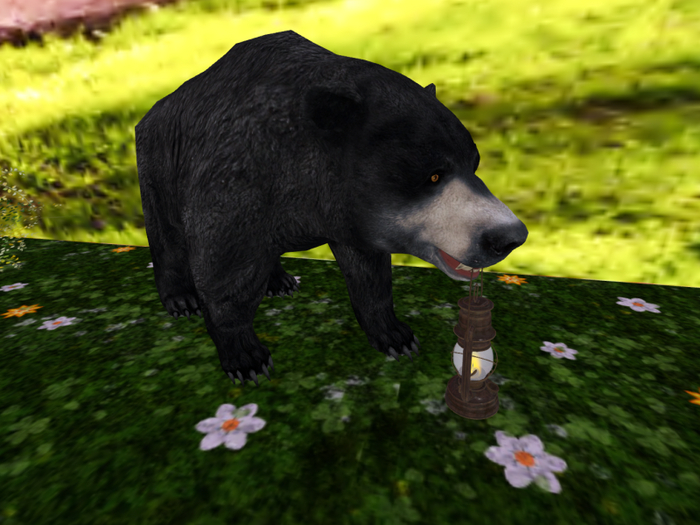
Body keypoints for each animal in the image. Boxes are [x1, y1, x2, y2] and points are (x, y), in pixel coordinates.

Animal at [135, 30, 528, 387]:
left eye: (473, 164)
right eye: (433, 174)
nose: (509, 236)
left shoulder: (351, 214)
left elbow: (368, 273)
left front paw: (396, 336)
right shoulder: (237, 178)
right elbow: (225, 269)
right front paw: (247, 359)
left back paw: (279, 281)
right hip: (159, 161)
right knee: (166, 234)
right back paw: (182, 299)